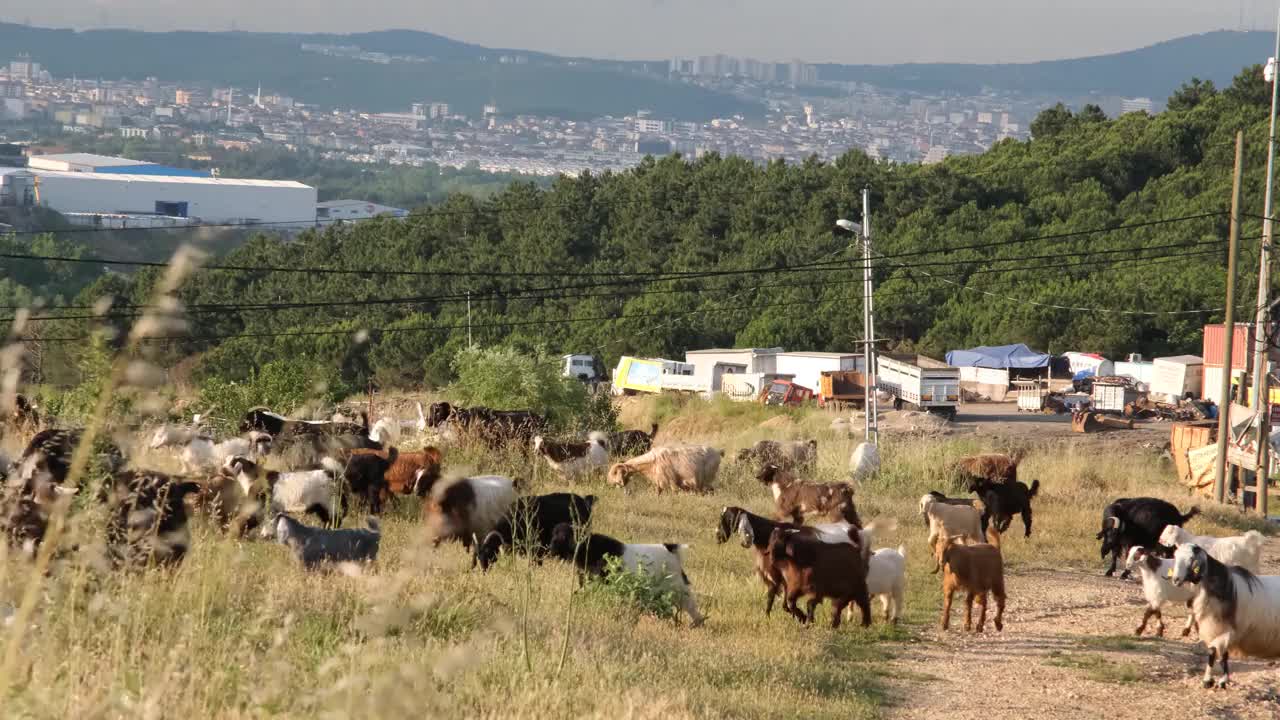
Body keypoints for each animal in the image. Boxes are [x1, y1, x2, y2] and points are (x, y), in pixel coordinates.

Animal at [547, 517, 711, 625]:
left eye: (561, 537)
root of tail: (671, 549)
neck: (588, 547)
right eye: (553, 534)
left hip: (678, 587)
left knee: (690, 605)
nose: (549, 550)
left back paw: (697, 622)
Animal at [1172, 540, 1280, 686]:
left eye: (1191, 559)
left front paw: (1208, 681)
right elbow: (1222, 655)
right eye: (1175, 556)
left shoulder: (1229, 632)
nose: (1175, 579)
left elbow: (1213, 652)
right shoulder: (1216, 629)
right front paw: (1221, 680)